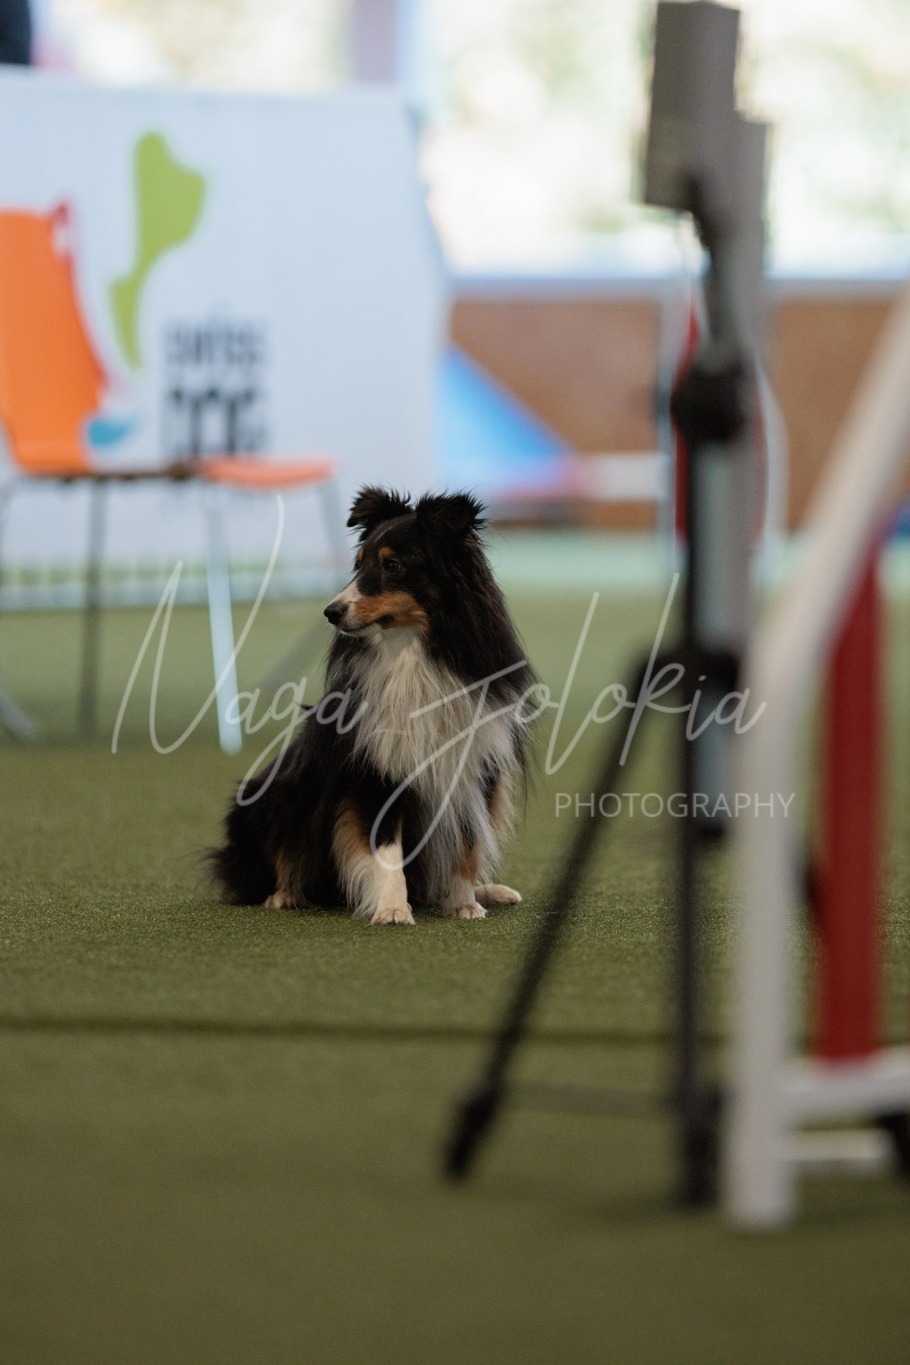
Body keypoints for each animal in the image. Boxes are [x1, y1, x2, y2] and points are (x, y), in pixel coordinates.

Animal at [210, 486, 537, 925]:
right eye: (358, 563)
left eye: (393, 566)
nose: (330, 612)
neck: (415, 653)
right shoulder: (377, 772)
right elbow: (386, 851)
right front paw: (392, 909)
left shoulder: (475, 766)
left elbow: (467, 843)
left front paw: (463, 902)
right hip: (273, 794)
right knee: (278, 860)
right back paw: (284, 895)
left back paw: (490, 891)